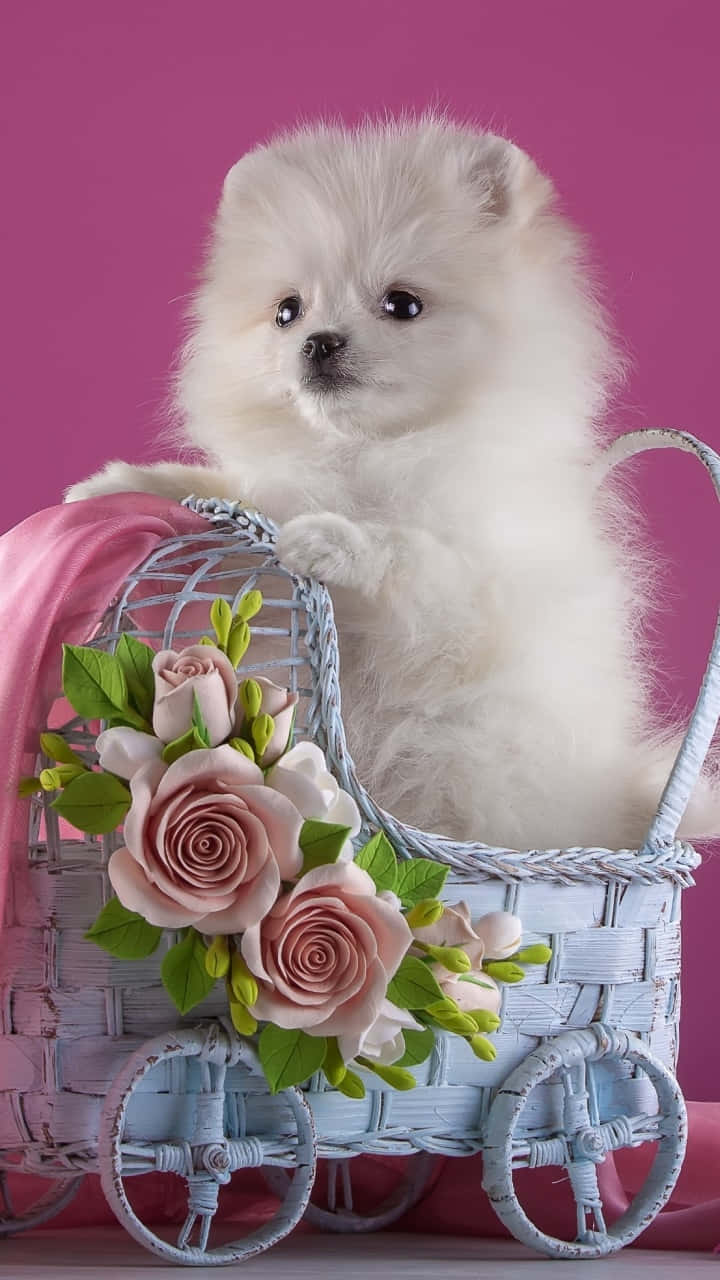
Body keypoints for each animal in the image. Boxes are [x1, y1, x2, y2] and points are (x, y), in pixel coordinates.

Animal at [64, 117, 712, 849]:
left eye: (402, 304)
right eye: (286, 311)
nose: (318, 341)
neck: (369, 451)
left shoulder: (474, 599)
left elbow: (409, 553)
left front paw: (331, 540)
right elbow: (233, 496)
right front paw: (118, 486)